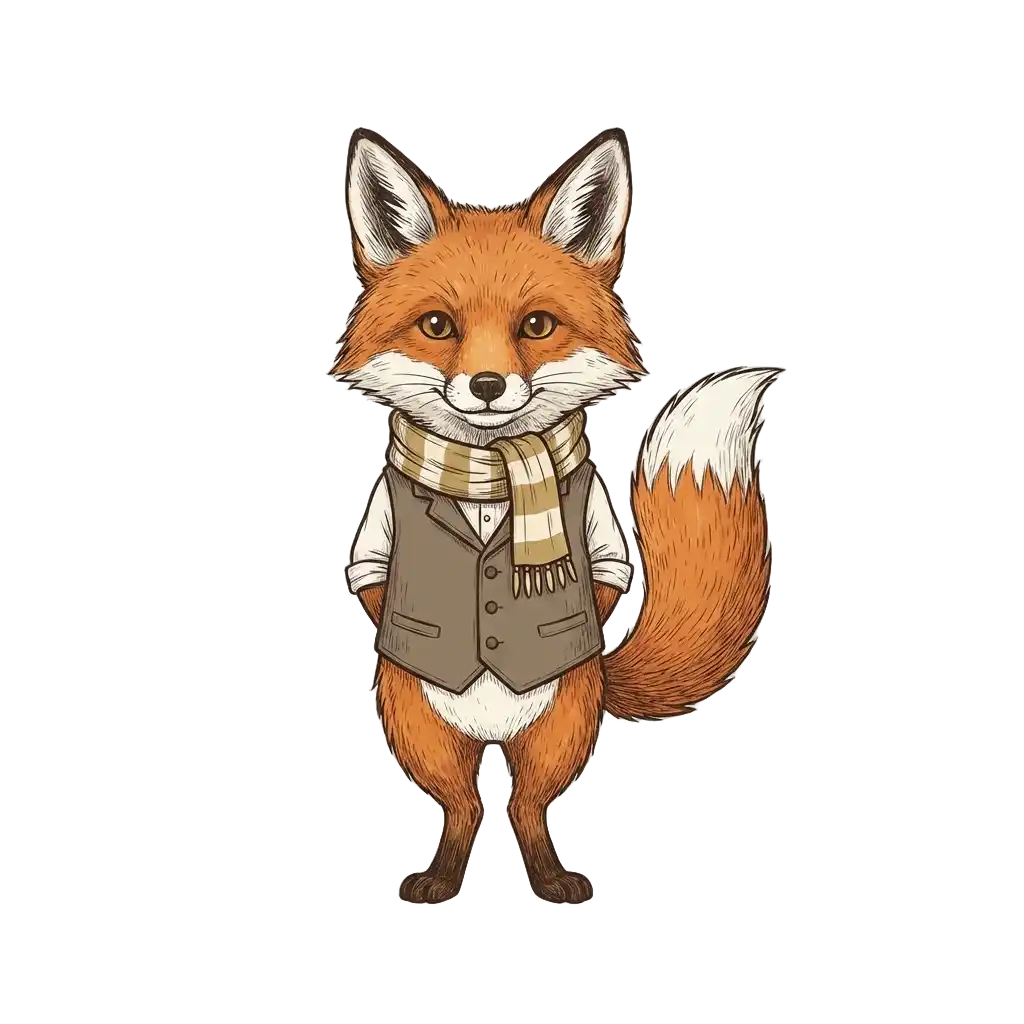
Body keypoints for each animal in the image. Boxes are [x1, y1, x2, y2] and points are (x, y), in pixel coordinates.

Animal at [336, 127, 779, 904]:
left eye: (536, 325)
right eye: (437, 326)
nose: (486, 386)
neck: (492, 475)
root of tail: (493, 734)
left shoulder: (598, 528)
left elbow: (607, 572)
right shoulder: (377, 526)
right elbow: (371, 575)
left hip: (557, 732)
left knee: (525, 805)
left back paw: (546, 878)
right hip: (421, 729)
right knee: (461, 805)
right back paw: (444, 876)